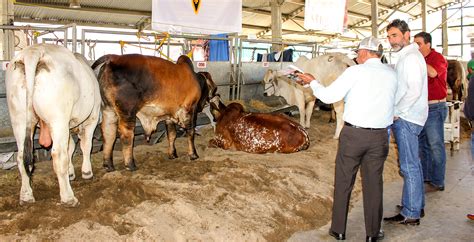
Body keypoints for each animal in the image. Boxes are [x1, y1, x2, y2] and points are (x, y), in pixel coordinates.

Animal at [5, 44, 100, 206]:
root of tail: (33, 52)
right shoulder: (91, 119)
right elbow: (85, 145)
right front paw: (87, 172)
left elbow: (70, 147)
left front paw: (71, 173)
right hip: (58, 118)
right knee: (58, 155)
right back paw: (68, 197)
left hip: (19, 119)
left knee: (21, 156)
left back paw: (26, 196)